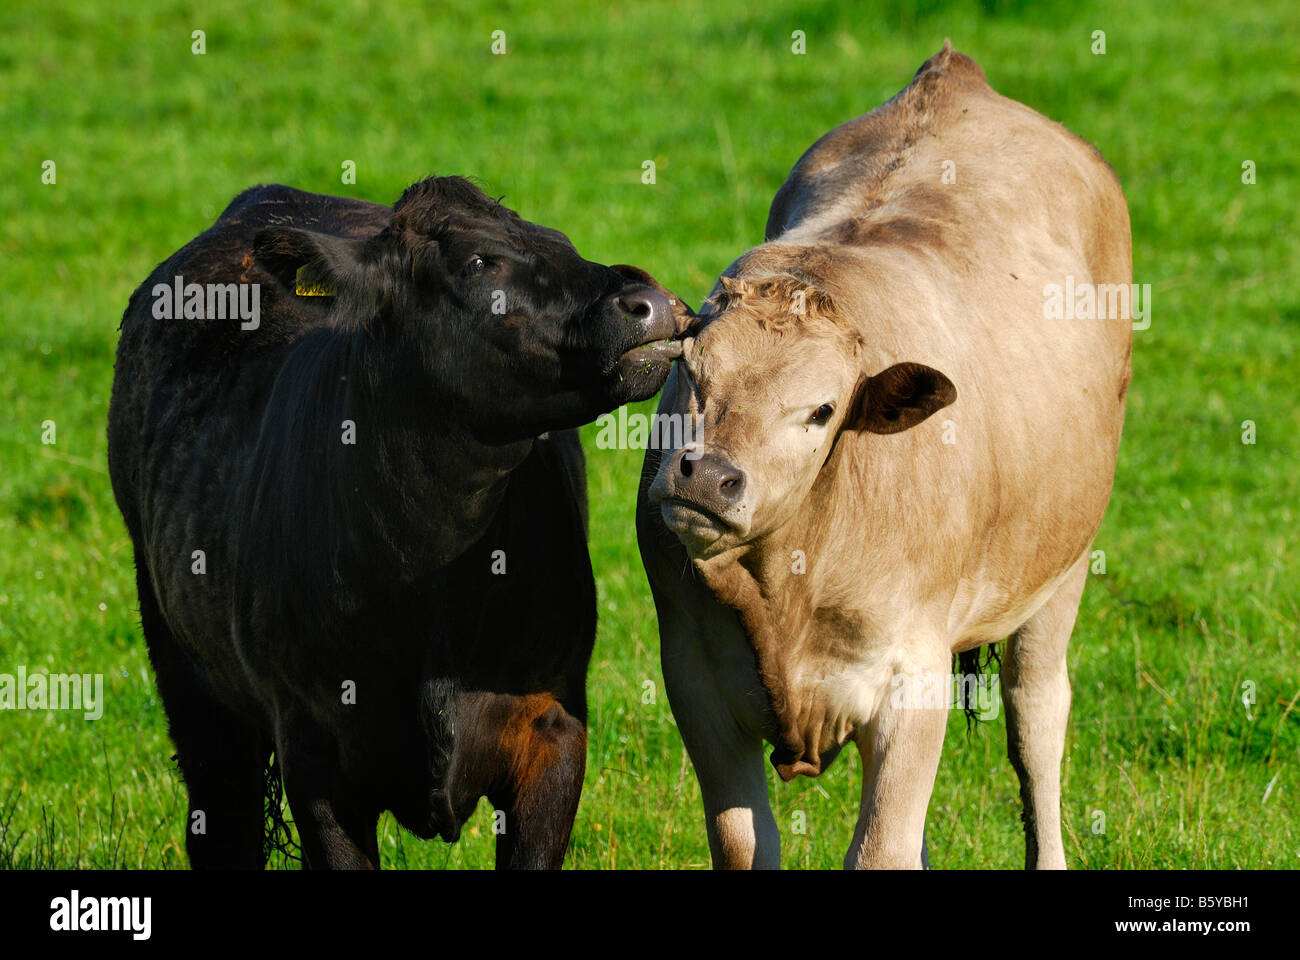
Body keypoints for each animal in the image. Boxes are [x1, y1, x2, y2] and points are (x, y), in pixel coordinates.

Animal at [109, 174, 691, 868]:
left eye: (562, 240)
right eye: (478, 261)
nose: (650, 302)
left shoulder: (554, 724)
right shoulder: (312, 749)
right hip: (188, 679)